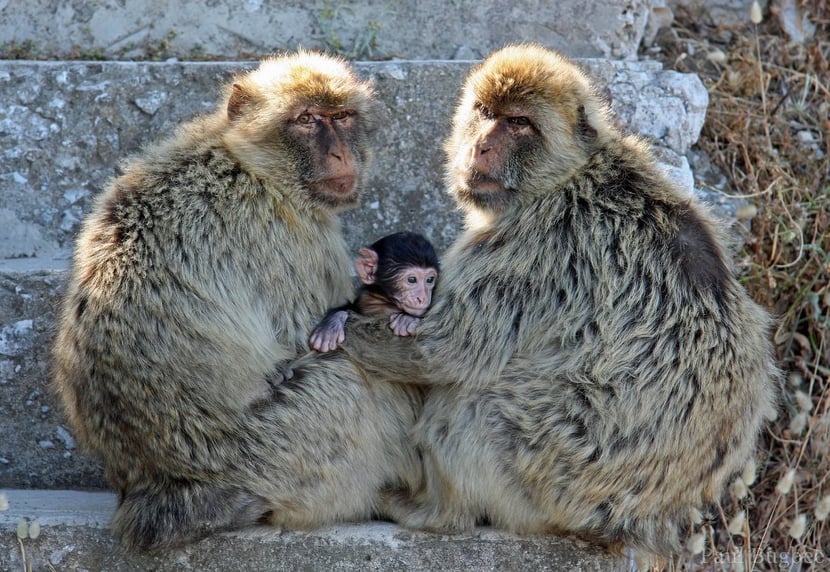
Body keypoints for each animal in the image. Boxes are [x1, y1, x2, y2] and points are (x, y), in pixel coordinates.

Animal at [51, 51, 424, 552]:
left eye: (342, 117)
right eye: (307, 120)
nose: (341, 153)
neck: (250, 163)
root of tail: (161, 486)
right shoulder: (295, 236)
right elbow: (322, 336)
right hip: (283, 450)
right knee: (351, 376)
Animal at [343, 44, 779, 558]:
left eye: (519, 123)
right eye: (485, 113)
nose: (480, 145)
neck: (569, 173)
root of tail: (632, 521)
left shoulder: (533, 242)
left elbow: (446, 350)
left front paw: (338, 331)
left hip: (542, 475)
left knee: (476, 401)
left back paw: (439, 511)